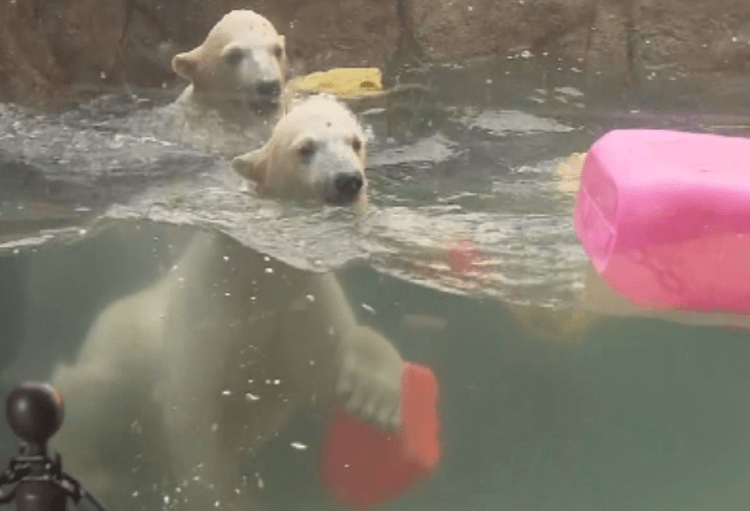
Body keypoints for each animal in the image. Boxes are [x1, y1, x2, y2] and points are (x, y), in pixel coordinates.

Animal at [47, 96, 403, 511]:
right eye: (305, 149)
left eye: (356, 142)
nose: (348, 181)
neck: (261, 268)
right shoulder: (210, 308)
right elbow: (192, 409)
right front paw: (220, 496)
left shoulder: (301, 296)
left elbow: (326, 359)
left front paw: (374, 397)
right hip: (111, 354)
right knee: (87, 390)